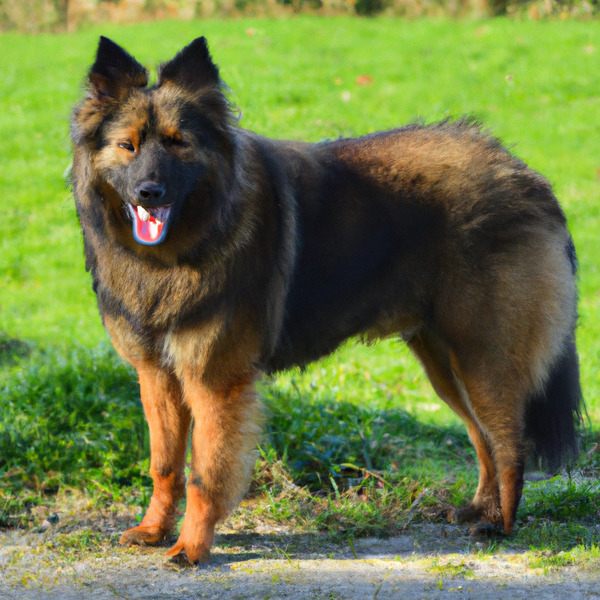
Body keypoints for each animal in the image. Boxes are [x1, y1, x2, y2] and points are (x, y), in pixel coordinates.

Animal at [70, 37, 580, 564]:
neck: (177, 253)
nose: (149, 192)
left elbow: (204, 476)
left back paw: (502, 525)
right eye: (127, 146)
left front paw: (190, 548)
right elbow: (164, 465)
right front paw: (153, 530)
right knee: (483, 438)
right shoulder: (157, 375)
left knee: (510, 444)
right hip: (445, 364)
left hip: (484, 356)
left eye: (177, 143)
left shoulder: (214, 381)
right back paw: (480, 509)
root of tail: (524, 174)